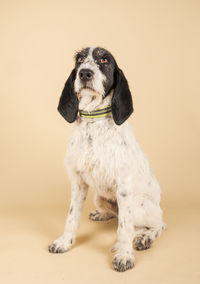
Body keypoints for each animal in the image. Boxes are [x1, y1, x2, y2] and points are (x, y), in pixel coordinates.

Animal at [48, 47, 166, 272]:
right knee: (118, 215)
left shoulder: (124, 188)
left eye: (104, 60)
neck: (94, 123)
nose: (85, 73)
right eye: (79, 59)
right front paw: (65, 242)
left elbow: (124, 229)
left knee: (157, 224)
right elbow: (71, 217)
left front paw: (124, 255)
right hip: (99, 197)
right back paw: (102, 214)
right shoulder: (78, 183)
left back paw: (144, 237)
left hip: (139, 204)